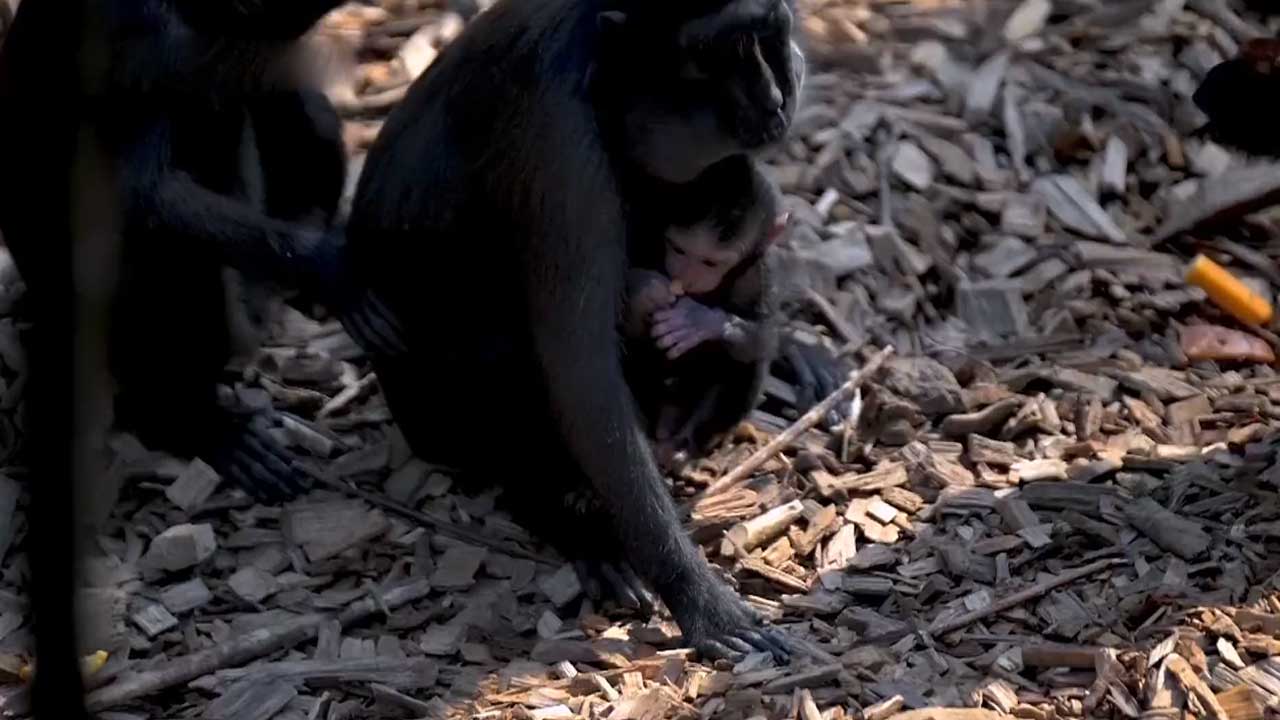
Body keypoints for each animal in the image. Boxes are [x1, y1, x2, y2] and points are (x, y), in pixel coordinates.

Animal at [0, 0, 388, 503]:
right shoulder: (136, 35)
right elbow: (144, 195)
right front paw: (332, 267)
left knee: (297, 107)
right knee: (171, 256)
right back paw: (192, 421)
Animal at [623, 155, 787, 467]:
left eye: (710, 263)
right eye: (678, 249)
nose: (686, 277)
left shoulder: (755, 274)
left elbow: (766, 338)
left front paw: (698, 321)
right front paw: (646, 290)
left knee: (745, 363)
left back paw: (682, 443)